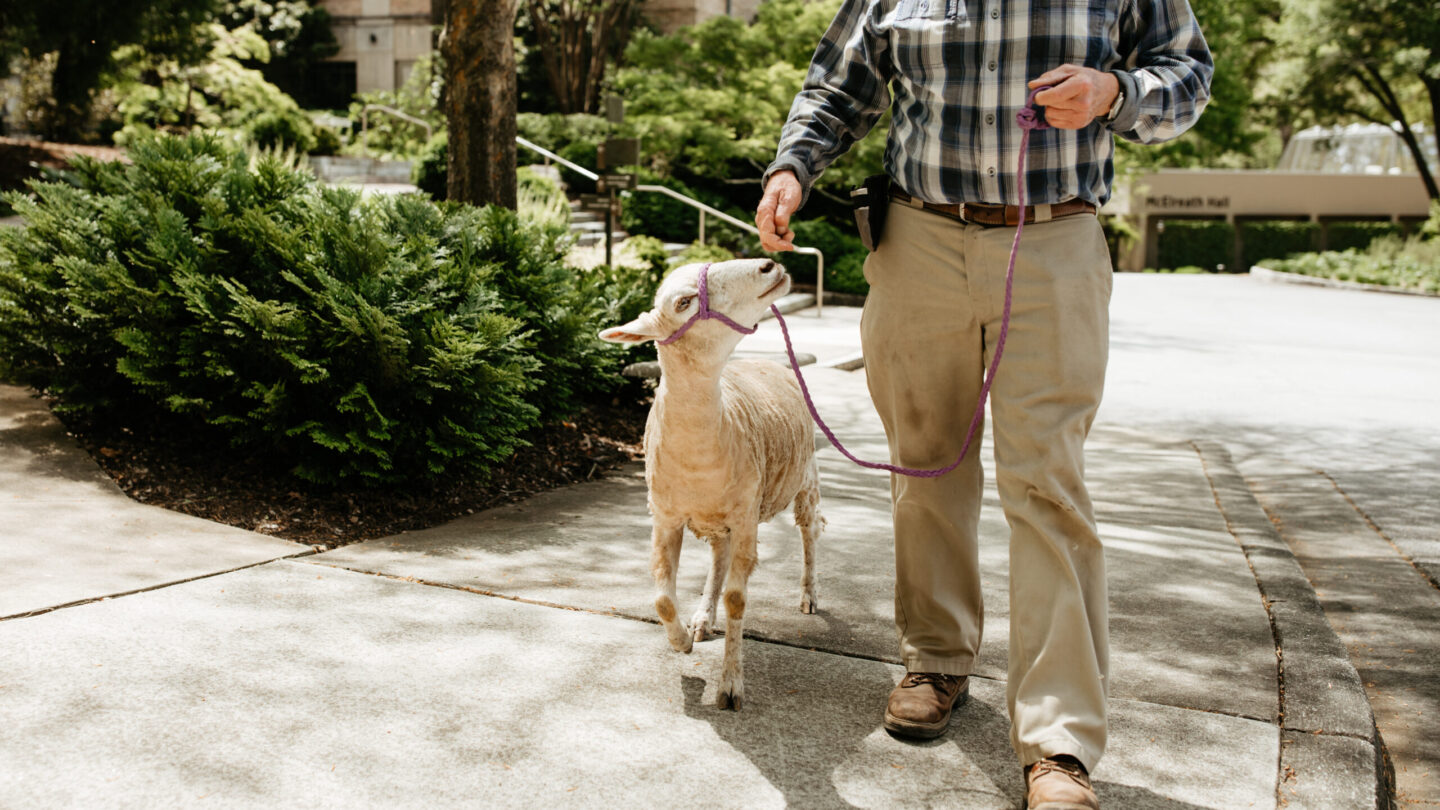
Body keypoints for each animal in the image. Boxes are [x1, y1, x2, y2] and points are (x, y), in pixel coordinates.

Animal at [596, 256, 823, 706]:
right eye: (684, 303)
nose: (769, 264)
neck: (699, 456)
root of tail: (766, 360)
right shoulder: (665, 517)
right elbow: (662, 599)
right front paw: (681, 641)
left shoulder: (747, 515)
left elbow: (737, 599)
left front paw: (731, 684)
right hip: (720, 517)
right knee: (719, 557)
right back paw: (702, 618)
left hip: (804, 479)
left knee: (809, 535)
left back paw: (807, 595)